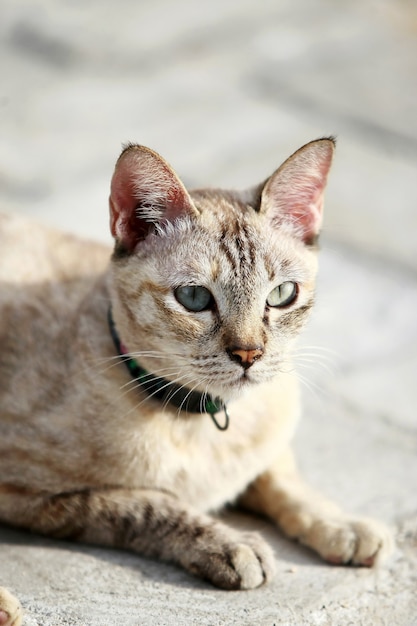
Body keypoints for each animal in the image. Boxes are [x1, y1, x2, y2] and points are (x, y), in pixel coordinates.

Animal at [0, 136, 390, 620]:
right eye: (193, 297)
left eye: (282, 294)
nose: (249, 354)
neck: (206, 417)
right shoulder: (29, 494)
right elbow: (145, 503)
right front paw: (230, 544)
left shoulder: (267, 447)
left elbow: (284, 480)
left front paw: (342, 525)